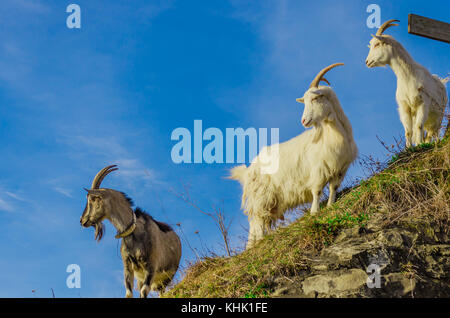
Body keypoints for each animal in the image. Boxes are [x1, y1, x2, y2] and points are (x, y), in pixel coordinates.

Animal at [230, 63, 356, 250]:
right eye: (305, 101)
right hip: (261, 197)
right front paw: (314, 212)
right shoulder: (318, 171)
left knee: (259, 223)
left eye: (315, 99)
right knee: (257, 222)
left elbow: (333, 188)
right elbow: (317, 191)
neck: (331, 135)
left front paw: (330, 205)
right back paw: (259, 241)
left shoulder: (339, 169)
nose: (304, 121)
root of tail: (248, 171)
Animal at [366, 19, 446, 148]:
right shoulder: (405, 106)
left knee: (434, 131)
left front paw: (418, 145)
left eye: (377, 44)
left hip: (439, 115)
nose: (367, 62)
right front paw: (408, 148)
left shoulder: (423, 103)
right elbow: (408, 131)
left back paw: (433, 143)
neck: (408, 77)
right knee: (429, 133)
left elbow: (418, 126)